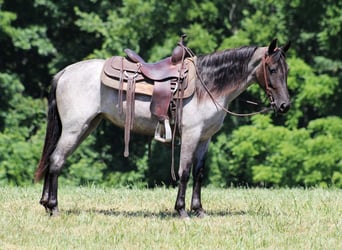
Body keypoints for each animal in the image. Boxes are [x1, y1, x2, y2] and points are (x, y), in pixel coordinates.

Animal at [34, 38, 292, 218]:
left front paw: (199, 210)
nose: (284, 105)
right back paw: (53, 207)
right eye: (272, 69)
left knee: (53, 159)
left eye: (287, 70)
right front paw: (182, 210)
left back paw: (46, 204)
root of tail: (65, 72)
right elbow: (184, 172)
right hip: (74, 129)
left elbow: (199, 173)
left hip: (85, 127)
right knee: (56, 160)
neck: (207, 86)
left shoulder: (205, 139)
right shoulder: (190, 135)